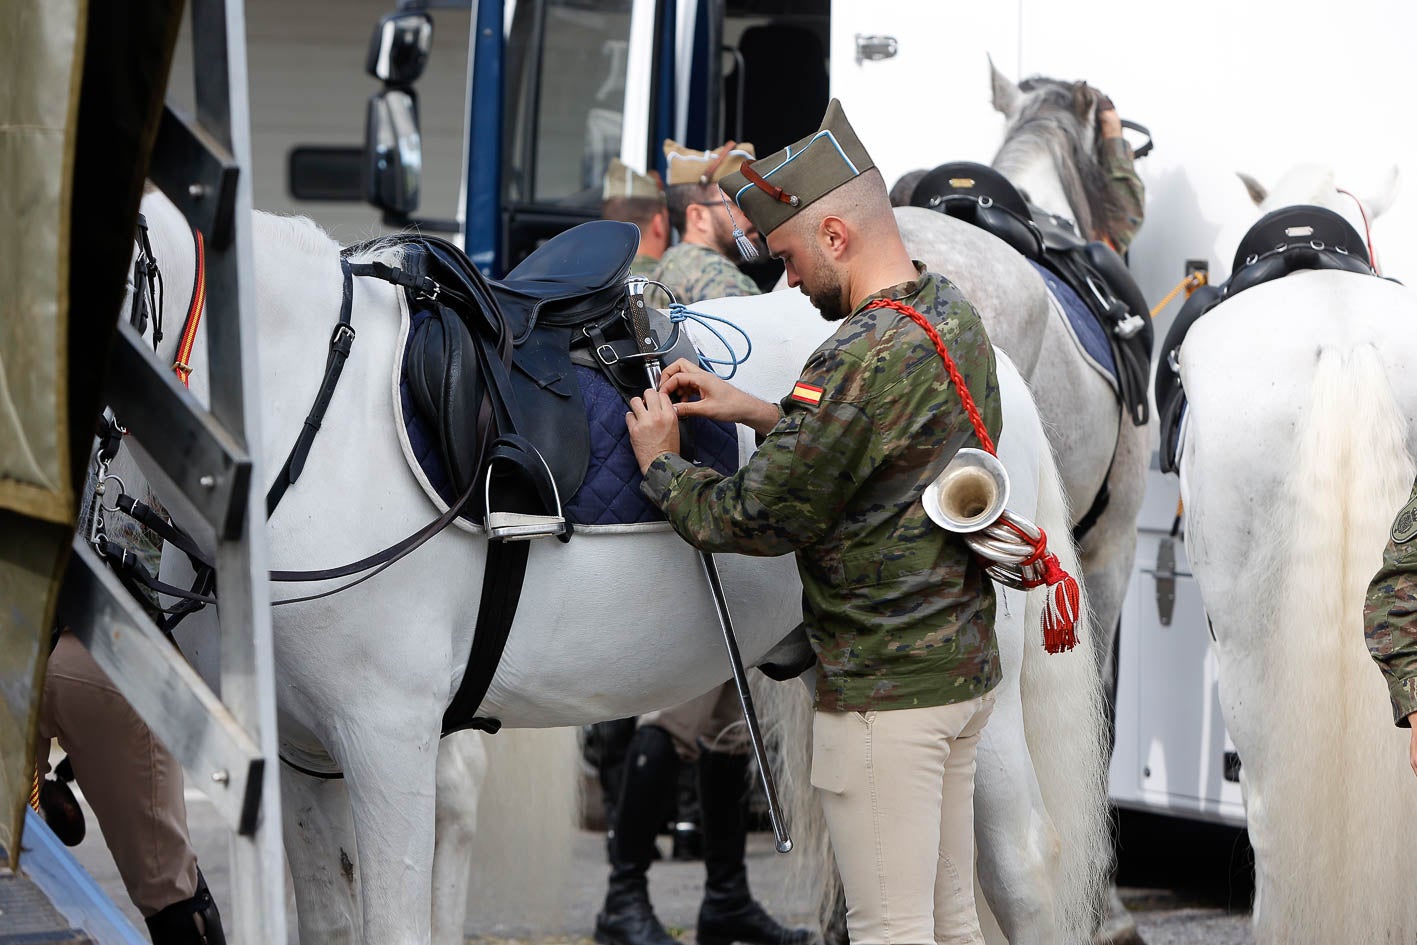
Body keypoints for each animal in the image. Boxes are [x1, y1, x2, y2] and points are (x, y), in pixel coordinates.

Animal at [133, 188, 1105, 940]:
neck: (320, 417)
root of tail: (993, 367)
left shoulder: (387, 736)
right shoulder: (300, 752)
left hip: (978, 702)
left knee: (1018, 869)